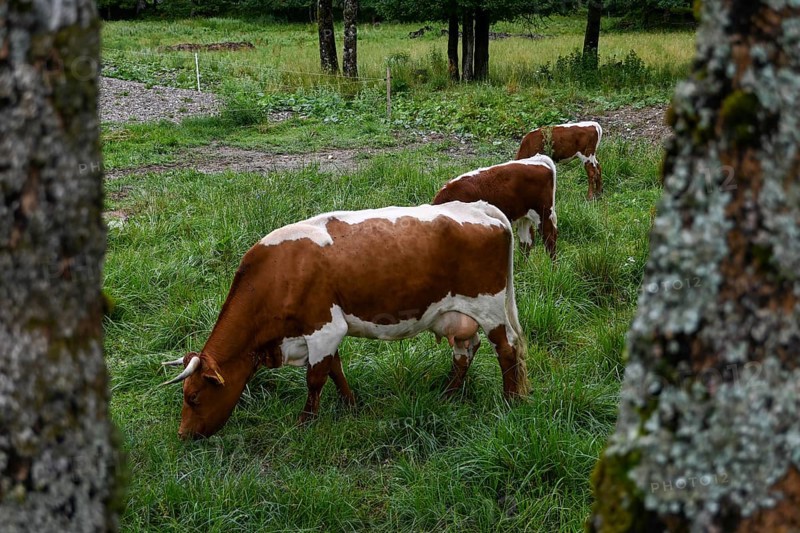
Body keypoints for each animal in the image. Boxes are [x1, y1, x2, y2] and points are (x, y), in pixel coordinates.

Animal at [162, 201, 528, 439]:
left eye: (193, 397)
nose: (182, 434)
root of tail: (479, 208)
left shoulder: (323, 328)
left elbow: (315, 378)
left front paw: (305, 423)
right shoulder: (320, 334)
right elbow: (335, 371)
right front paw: (351, 406)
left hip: (489, 307)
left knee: (507, 349)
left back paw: (510, 401)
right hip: (458, 314)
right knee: (465, 351)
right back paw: (448, 395)